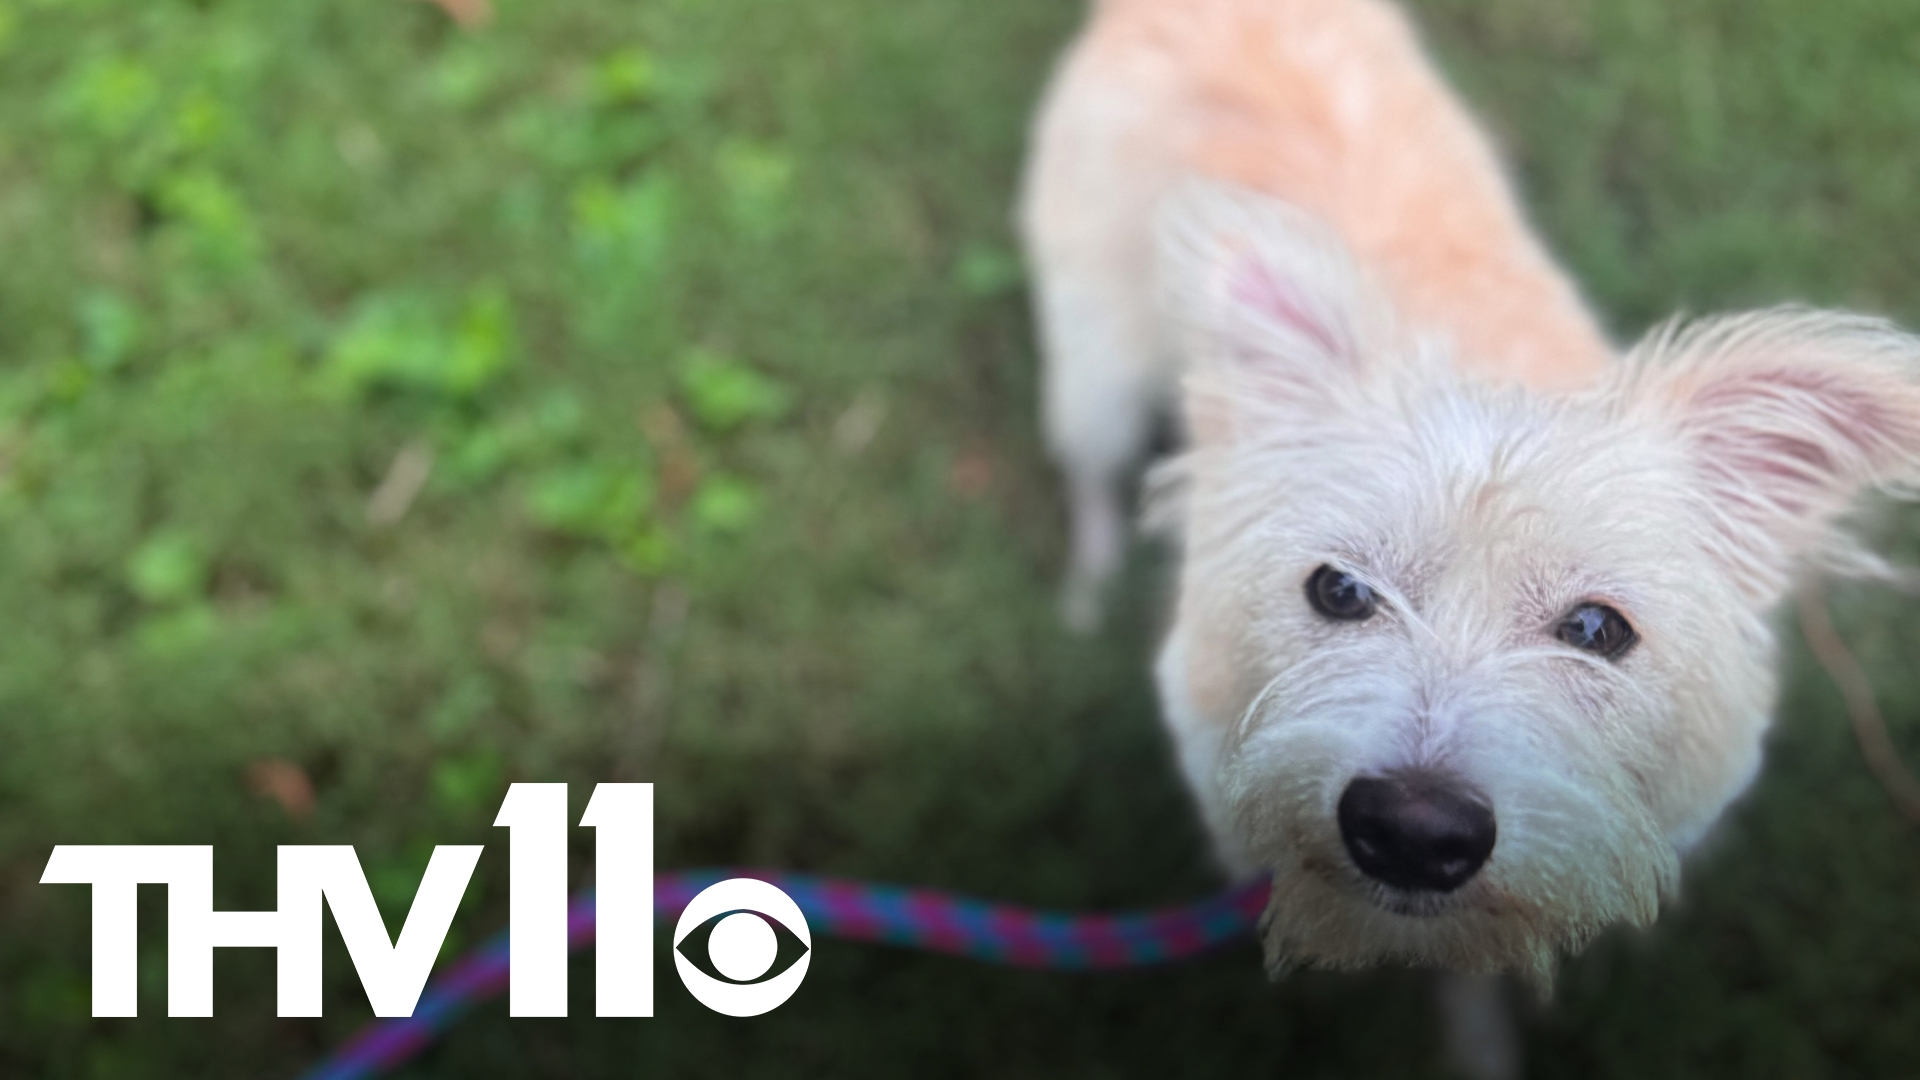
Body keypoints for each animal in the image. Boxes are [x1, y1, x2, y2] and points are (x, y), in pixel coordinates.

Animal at [1029, 0, 1920, 1068]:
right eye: (1339, 589)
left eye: (1598, 629)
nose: (1412, 831)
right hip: (1098, 353)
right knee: (1089, 465)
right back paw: (1087, 582)